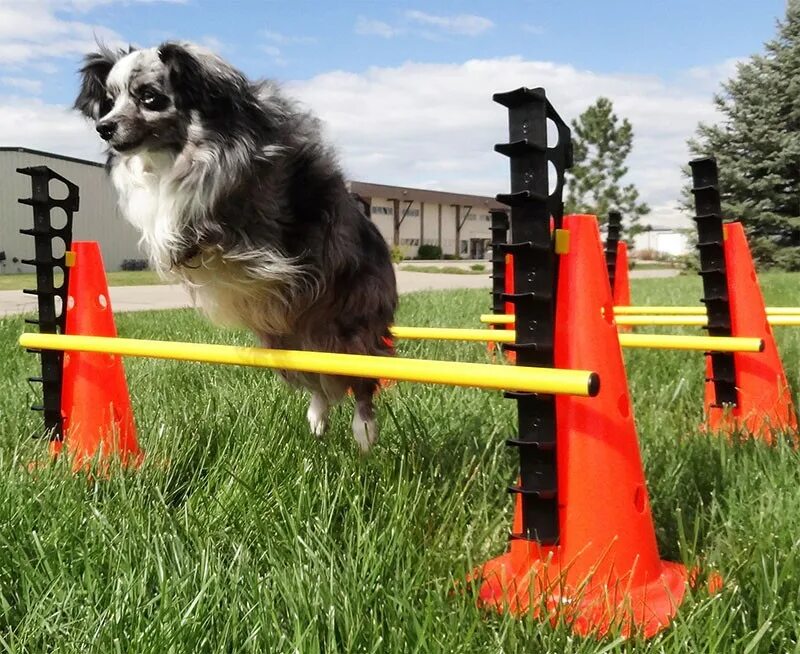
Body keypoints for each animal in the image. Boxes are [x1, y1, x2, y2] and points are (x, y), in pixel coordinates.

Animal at [73, 41, 398, 452]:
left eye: (149, 97)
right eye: (110, 101)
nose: (105, 127)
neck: (179, 153)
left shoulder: (248, 212)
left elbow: (202, 223)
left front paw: (182, 238)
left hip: (351, 331)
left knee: (363, 381)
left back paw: (364, 431)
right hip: (285, 344)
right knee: (318, 383)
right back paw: (317, 419)